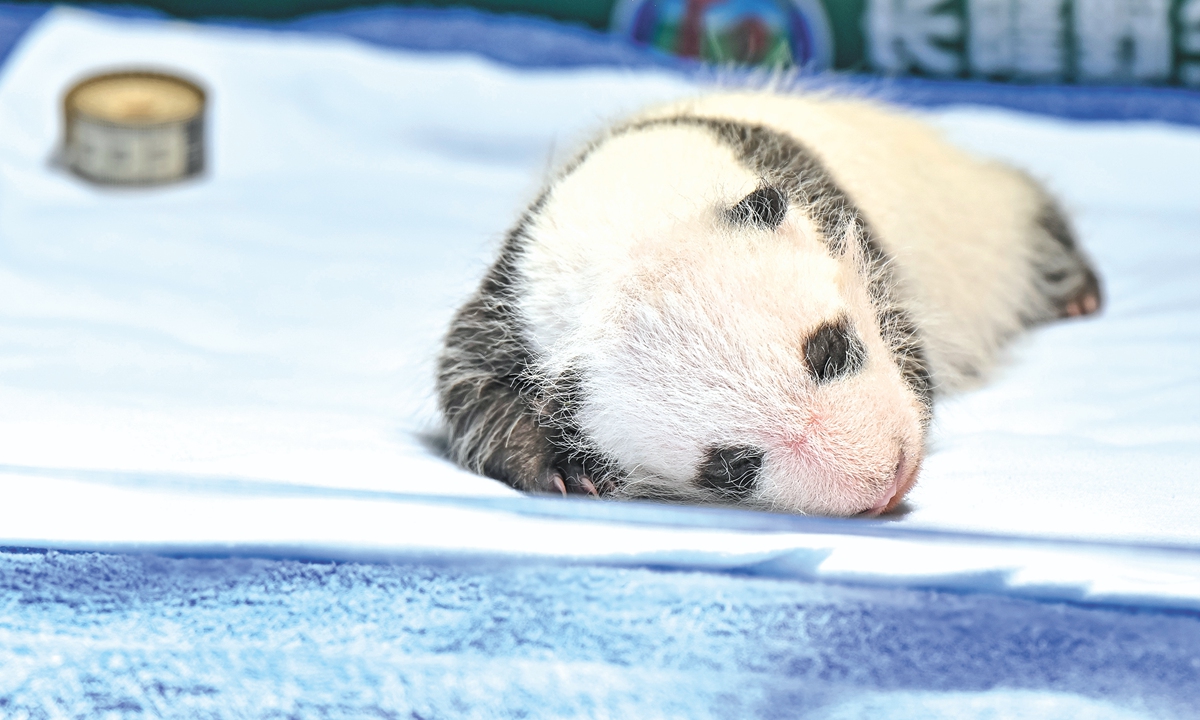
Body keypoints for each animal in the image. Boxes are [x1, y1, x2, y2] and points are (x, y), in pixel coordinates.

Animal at [436, 91, 1099, 518]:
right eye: (732, 468)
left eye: (830, 349)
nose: (886, 481)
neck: (624, 240)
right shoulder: (516, 302)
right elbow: (465, 383)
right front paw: (555, 467)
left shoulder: (825, 208)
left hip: (972, 217)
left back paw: (1076, 289)